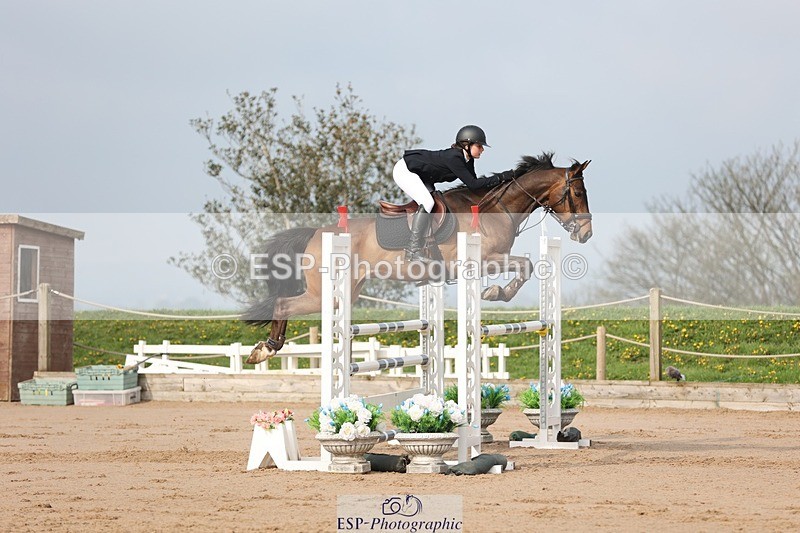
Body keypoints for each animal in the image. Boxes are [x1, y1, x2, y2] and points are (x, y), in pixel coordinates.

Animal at [245, 152, 593, 364]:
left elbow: (527, 266)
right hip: (324, 293)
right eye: (577, 193)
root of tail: (317, 233)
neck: (496, 209)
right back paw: (265, 350)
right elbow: (526, 265)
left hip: (347, 291)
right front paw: (496, 292)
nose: (586, 233)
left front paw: (496, 291)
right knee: (283, 304)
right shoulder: (482, 260)